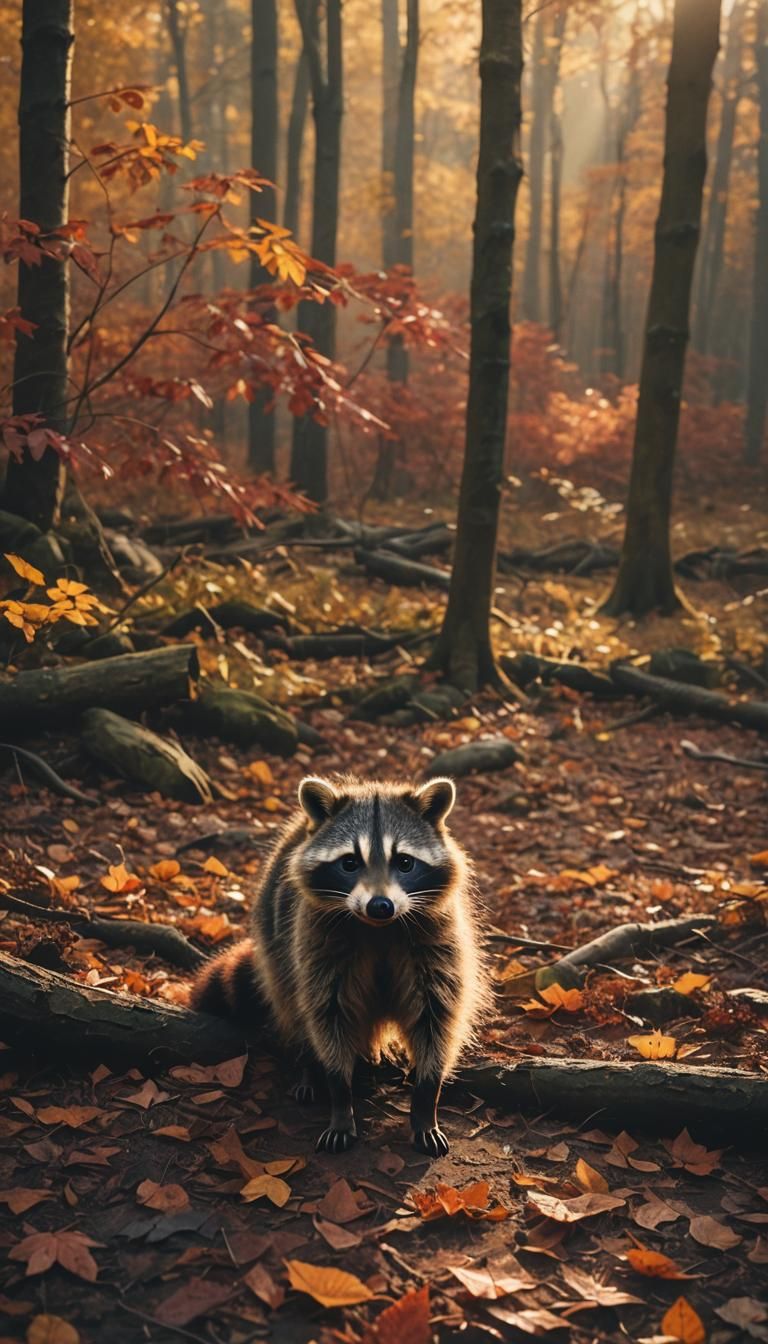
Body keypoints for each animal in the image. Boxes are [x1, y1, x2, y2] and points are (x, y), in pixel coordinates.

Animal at [191, 774, 487, 1156]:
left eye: (405, 862)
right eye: (349, 863)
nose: (380, 905)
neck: (379, 928)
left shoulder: (436, 940)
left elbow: (436, 1016)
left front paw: (425, 1098)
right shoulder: (316, 943)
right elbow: (328, 1014)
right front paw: (339, 1095)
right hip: (276, 946)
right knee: (293, 1004)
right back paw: (308, 1067)